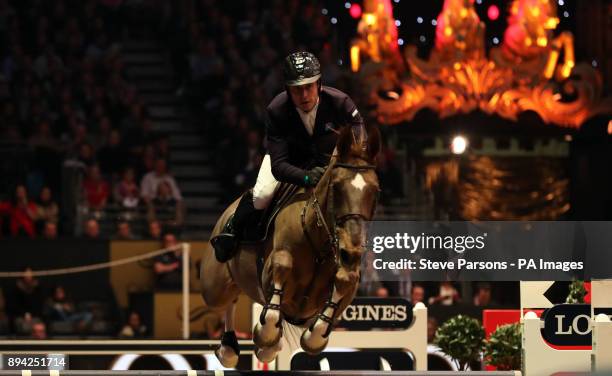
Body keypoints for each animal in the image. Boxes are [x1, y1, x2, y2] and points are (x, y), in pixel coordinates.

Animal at [201, 123, 380, 368]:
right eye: (336, 188)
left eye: (376, 191)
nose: (351, 253)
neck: (320, 244)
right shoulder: (274, 265)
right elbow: (282, 268)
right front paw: (265, 333)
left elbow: (345, 282)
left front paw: (313, 338)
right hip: (214, 288)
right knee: (229, 298)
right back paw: (229, 348)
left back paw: (262, 348)